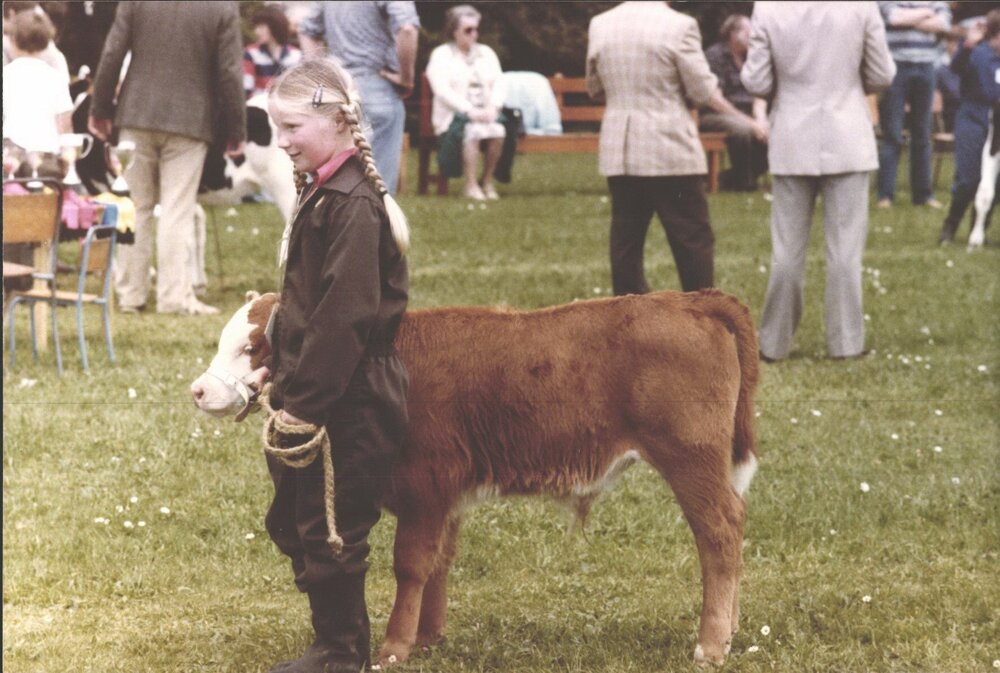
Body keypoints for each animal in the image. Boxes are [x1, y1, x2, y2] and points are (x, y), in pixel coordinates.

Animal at [190, 289, 761, 668]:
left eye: (252, 347)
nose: (197, 390)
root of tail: (688, 299)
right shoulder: (446, 495)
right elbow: (439, 562)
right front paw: (429, 635)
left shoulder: (424, 484)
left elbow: (411, 564)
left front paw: (395, 646)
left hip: (691, 458)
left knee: (719, 532)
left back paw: (711, 644)